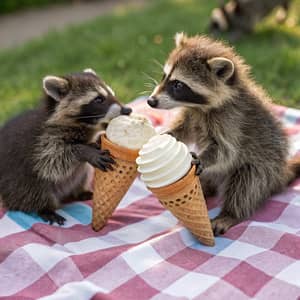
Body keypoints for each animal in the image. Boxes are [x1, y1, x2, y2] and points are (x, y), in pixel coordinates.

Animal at [0, 69, 131, 224]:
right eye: (99, 99)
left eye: (112, 94)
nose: (128, 110)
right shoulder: (41, 142)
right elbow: (54, 159)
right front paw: (84, 151)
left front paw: (97, 141)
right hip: (18, 182)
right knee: (35, 191)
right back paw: (45, 209)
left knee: (83, 173)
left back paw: (79, 192)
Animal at [148, 32, 300, 234]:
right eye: (164, 76)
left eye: (178, 85)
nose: (150, 101)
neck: (200, 107)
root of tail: (279, 174)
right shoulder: (192, 114)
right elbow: (184, 129)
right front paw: (168, 134)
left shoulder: (232, 121)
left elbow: (226, 150)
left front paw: (202, 157)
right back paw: (205, 189)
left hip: (265, 167)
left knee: (247, 185)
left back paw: (230, 213)